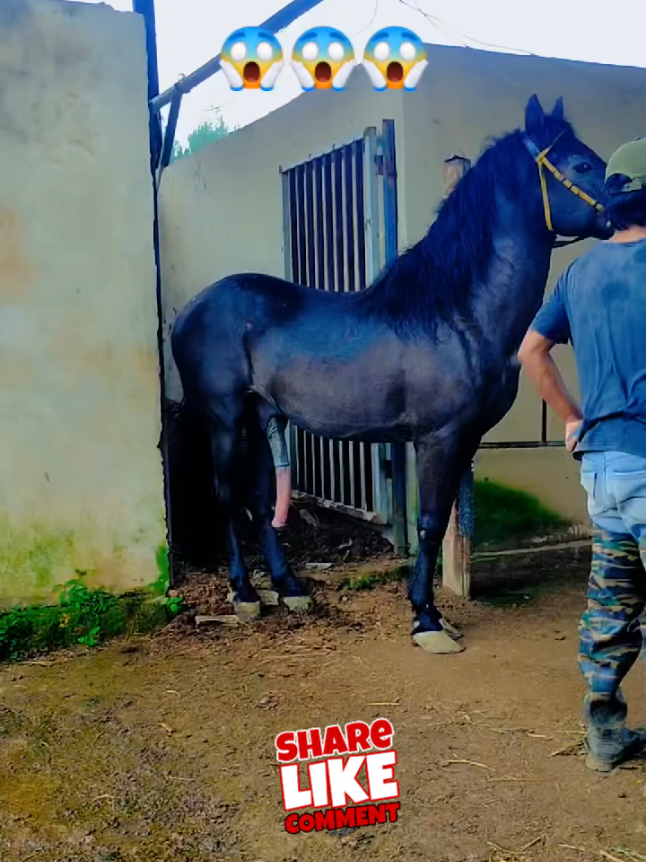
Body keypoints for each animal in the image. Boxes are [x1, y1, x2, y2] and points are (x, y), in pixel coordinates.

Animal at [171, 94, 610, 654]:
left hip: (261, 415)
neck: (457, 313)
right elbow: (429, 522)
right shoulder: (437, 437)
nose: (630, 205)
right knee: (228, 497)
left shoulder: (466, 437)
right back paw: (245, 594)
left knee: (258, 500)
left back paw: (290, 587)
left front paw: (432, 612)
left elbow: (440, 522)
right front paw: (426, 618)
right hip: (225, 419)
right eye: (581, 165)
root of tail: (190, 310)